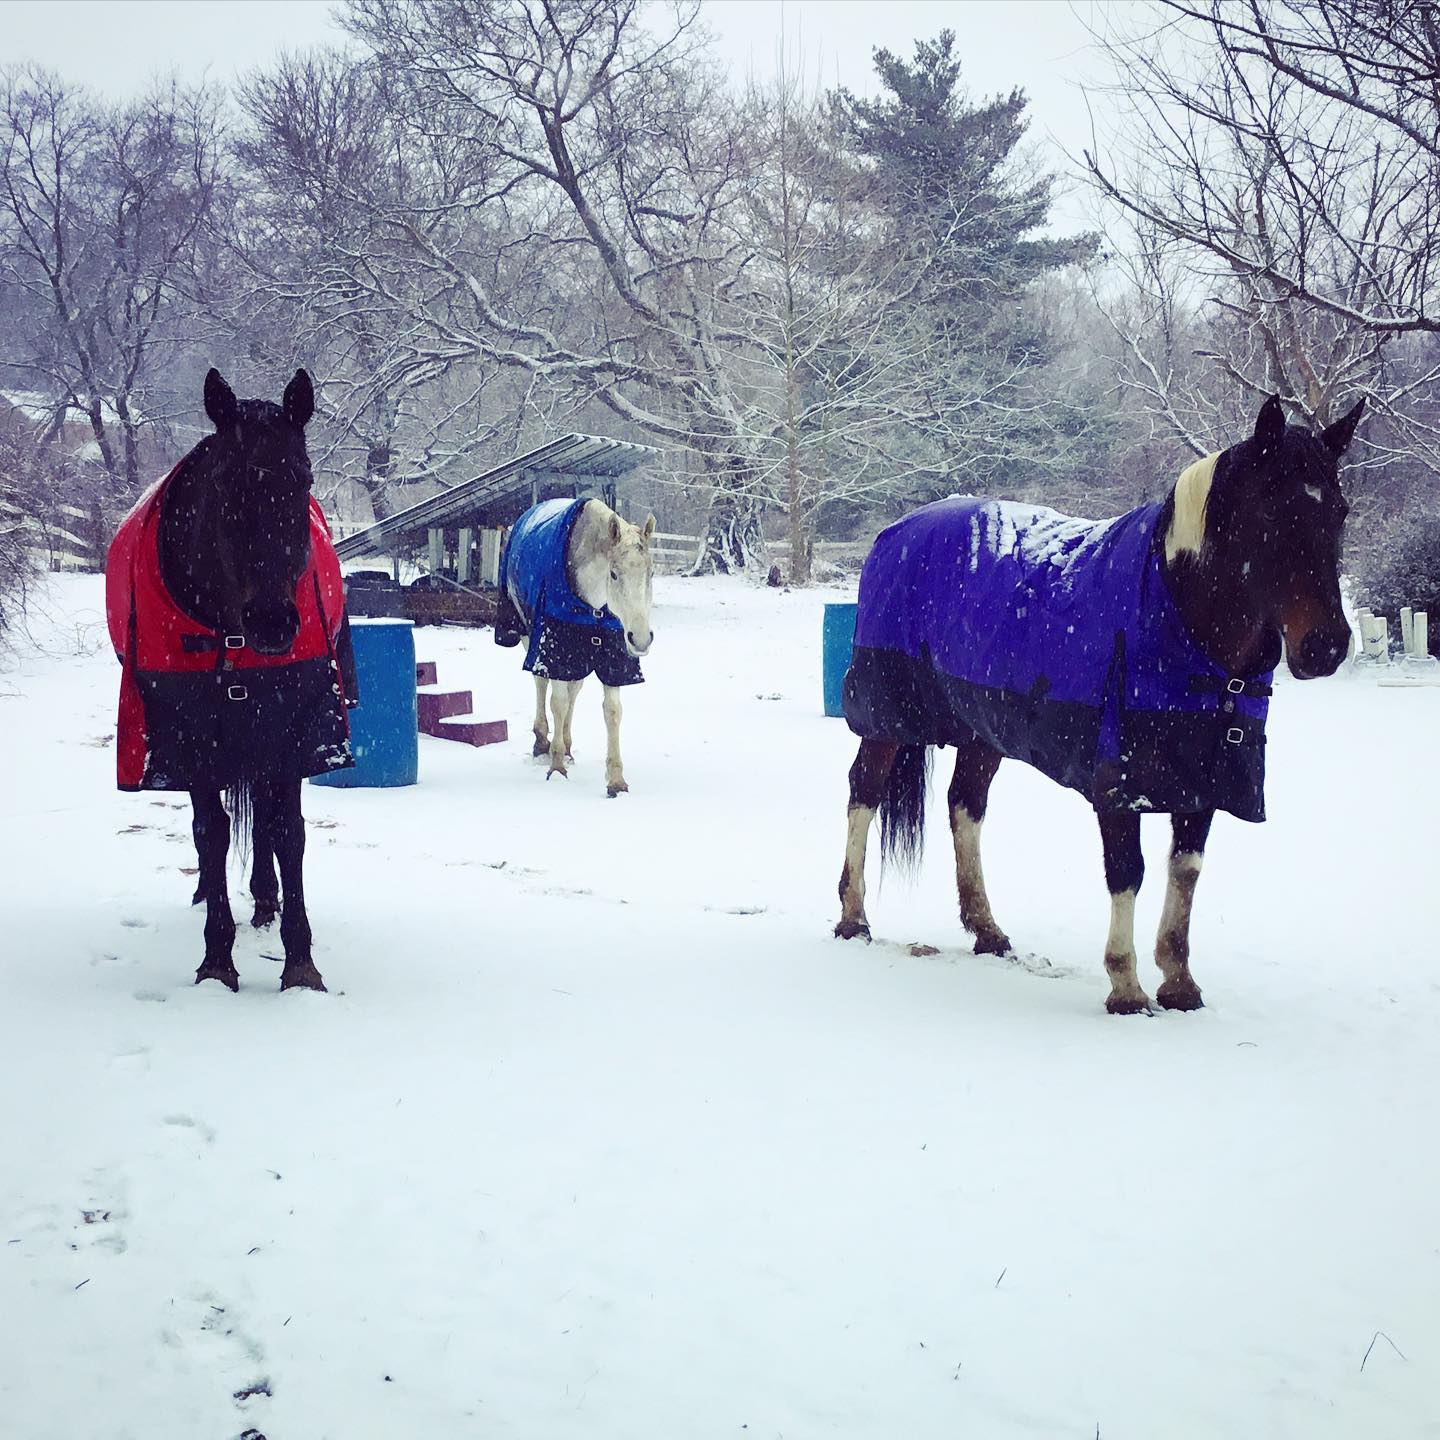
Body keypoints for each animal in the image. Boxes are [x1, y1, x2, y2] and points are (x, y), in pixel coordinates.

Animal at [492, 498, 656, 794]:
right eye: (614, 574)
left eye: (651, 573)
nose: (640, 639)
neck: (593, 605)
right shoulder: (555, 648)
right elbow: (557, 702)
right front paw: (556, 767)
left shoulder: (612, 658)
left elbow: (612, 712)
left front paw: (616, 781)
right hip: (530, 637)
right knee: (541, 684)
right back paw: (542, 743)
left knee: (574, 690)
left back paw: (567, 746)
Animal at [835, 394, 1359, 1013]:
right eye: (1269, 511)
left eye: (1340, 512)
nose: (1326, 645)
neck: (1178, 613)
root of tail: (897, 530)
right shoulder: (1119, 779)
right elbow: (1127, 871)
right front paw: (1126, 988)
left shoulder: (1204, 774)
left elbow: (1185, 870)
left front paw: (1179, 984)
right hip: (886, 715)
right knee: (864, 793)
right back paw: (853, 919)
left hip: (984, 729)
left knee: (966, 805)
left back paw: (987, 930)